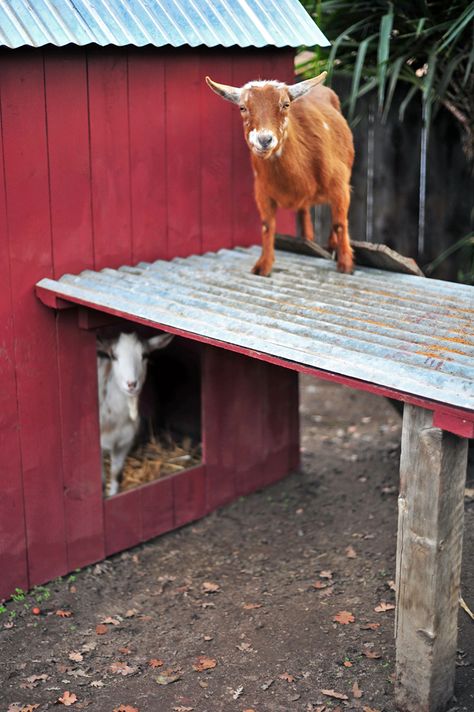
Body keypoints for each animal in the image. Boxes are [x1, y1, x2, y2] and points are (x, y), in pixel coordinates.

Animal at [97, 332, 173, 496]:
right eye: (113, 355)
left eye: (145, 355)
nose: (131, 384)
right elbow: (101, 483)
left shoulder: (124, 443)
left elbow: (116, 475)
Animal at [206, 72, 354, 276]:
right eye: (243, 107)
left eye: (286, 104)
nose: (264, 140)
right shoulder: (262, 192)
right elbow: (267, 225)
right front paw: (263, 266)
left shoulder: (340, 186)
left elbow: (340, 223)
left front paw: (345, 264)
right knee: (304, 213)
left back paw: (332, 246)